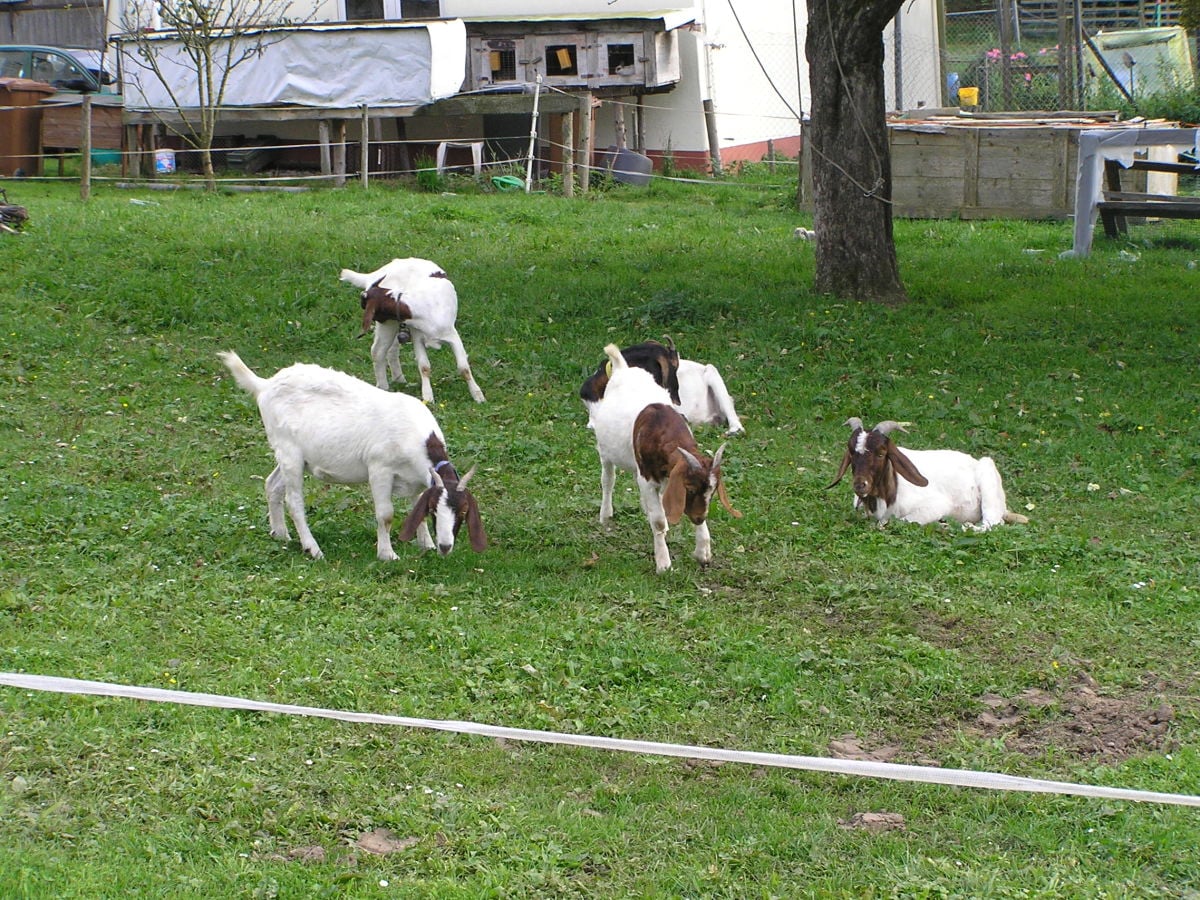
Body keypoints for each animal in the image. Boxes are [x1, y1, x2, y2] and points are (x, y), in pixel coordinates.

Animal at [220, 350, 487, 556]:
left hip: (293, 456)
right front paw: (387, 554)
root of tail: (264, 385)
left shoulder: (417, 481)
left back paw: (281, 535)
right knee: (294, 501)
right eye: (436, 511)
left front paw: (426, 545)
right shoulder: (379, 469)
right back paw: (312, 548)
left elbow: (415, 510)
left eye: (463, 511)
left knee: (272, 484)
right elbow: (386, 515)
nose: (445, 546)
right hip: (289, 452)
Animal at [336, 256, 484, 405]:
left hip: (394, 324)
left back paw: (399, 379)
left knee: (391, 350)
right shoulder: (418, 337)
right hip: (388, 324)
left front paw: (478, 395)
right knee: (378, 351)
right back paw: (383, 387)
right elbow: (424, 367)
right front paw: (428, 397)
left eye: (363, 302)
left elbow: (464, 368)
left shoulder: (452, 335)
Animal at [825, 420, 1032, 532]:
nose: (860, 485)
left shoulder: (935, 506)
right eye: (851, 451)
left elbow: (900, 521)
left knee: (991, 523)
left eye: (882, 453)